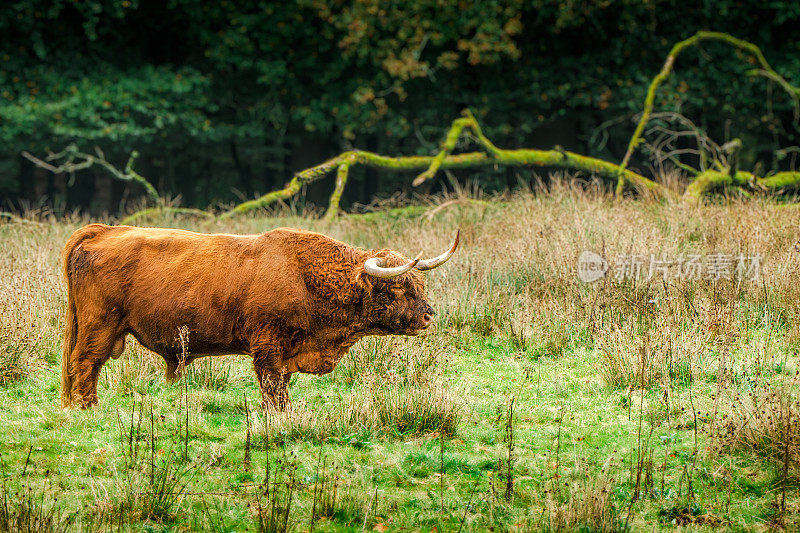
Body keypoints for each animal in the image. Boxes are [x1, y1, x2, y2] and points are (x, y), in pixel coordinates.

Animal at [59, 223, 460, 408]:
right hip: (99, 325)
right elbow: (274, 391)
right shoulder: (267, 346)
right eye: (397, 288)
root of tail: (102, 230)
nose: (428, 316)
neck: (307, 277)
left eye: (421, 283)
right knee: (85, 363)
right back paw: (86, 407)